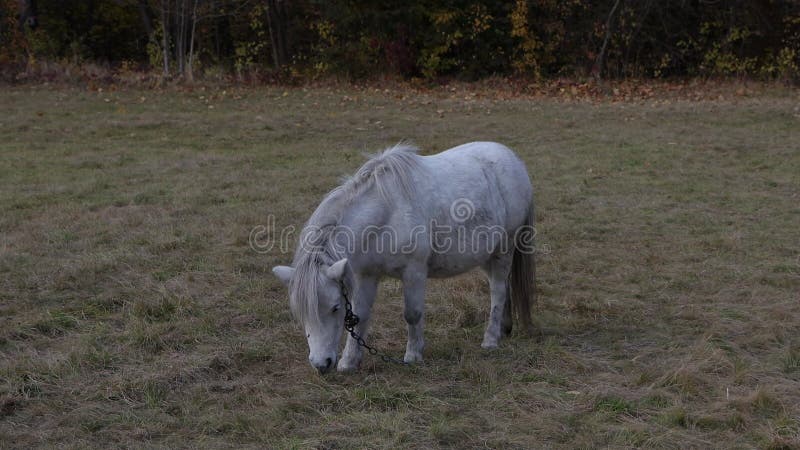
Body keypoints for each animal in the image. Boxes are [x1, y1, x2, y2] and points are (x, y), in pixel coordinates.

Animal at [272, 142, 536, 372]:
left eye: (335, 307)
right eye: (301, 314)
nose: (321, 364)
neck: (386, 214)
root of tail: (514, 160)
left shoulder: (414, 272)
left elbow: (412, 314)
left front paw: (413, 355)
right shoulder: (366, 275)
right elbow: (360, 316)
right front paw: (349, 362)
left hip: (504, 250)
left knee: (498, 291)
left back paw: (490, 340)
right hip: (487, 256)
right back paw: (504, 328)